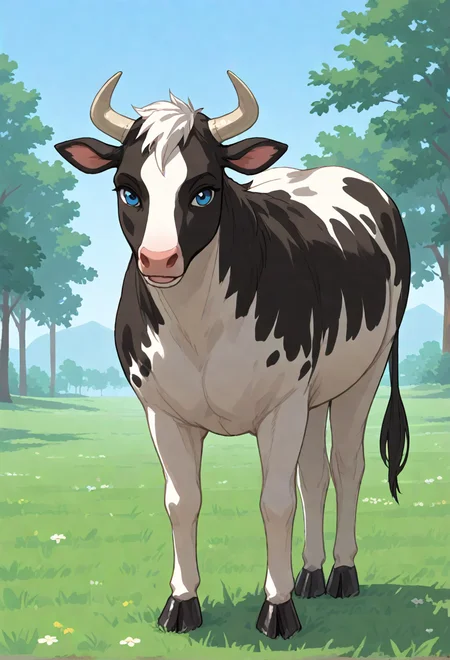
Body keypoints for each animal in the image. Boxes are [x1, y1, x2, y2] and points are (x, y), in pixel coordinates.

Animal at [55, 70, 411, 641]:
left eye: (204, 191)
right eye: (128, 189)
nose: (159, 259)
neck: (199, 328)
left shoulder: (281, 404)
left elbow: (275, 502)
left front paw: (277, 608)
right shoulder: (163, 409)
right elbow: (182, 502)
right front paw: (181, 603)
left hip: (365, 371)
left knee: (345, 466)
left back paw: (341, 572)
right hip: (312, 396)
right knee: (314, 473)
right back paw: (311, 573)